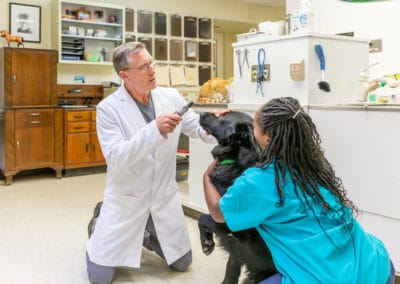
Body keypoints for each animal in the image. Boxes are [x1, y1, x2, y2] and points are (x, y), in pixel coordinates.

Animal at [198, 111, 276, 284]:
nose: (201, 112)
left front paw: (207, 242)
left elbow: (202, 217)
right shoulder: (236, 255)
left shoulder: (231, 230)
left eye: (221, 118)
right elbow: (230, 272)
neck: (235, 161)